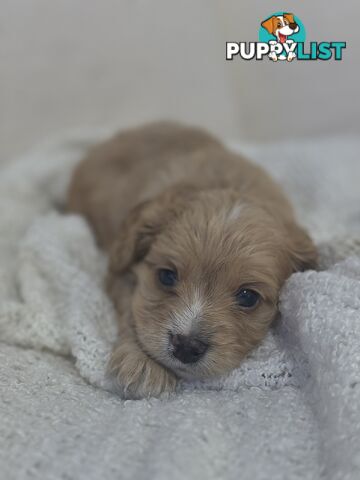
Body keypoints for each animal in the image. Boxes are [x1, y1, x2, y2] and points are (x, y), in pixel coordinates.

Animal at [67, 122, 316, 400]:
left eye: (248, 297)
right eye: (166, 276)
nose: (186, 346)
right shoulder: (119, 271)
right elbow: (132, 311)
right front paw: (143, 363)